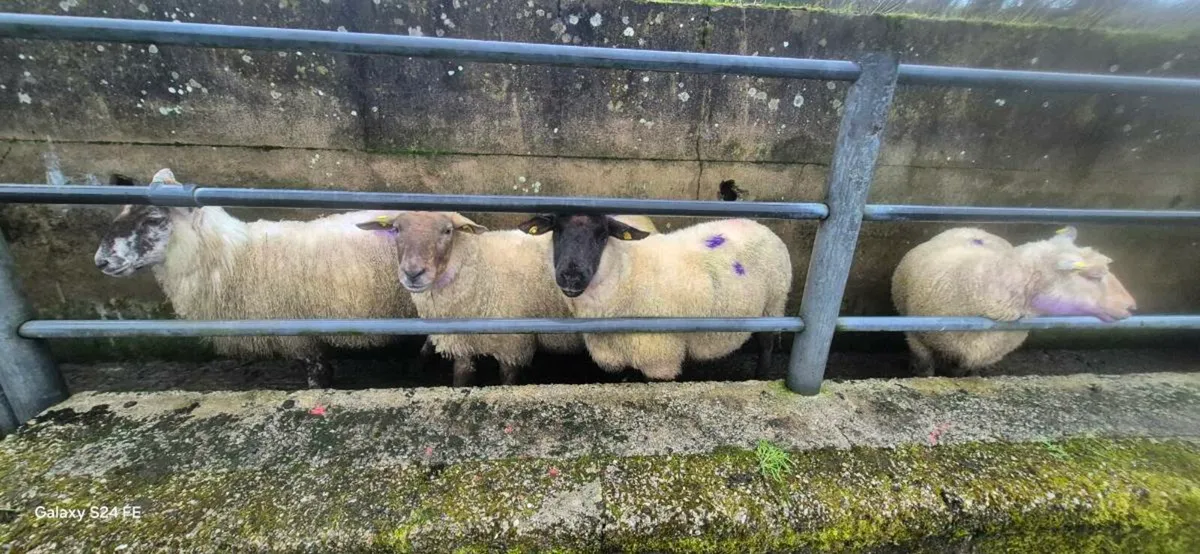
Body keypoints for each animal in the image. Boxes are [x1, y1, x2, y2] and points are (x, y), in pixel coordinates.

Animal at [356, 211, 658, 386]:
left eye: (447, 231)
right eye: (396, 230)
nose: (413, 272)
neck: (478, 267)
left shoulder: (513, 344)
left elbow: (507, 380)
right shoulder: (463, 343)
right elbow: (462, 377)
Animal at [516, 214, 792, 381]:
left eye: (603, 235)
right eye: (556, 231)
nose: (571, 277)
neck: (623, 274)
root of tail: (758, 224)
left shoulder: (660, 357)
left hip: (773, 305)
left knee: (766, 345)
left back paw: (761, 376)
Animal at [891, 226, 1137, 377]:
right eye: (1094, 276)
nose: (1132, 307)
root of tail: (973, 229)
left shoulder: (981, 357)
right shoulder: (917, 340)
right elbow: (925, 370)